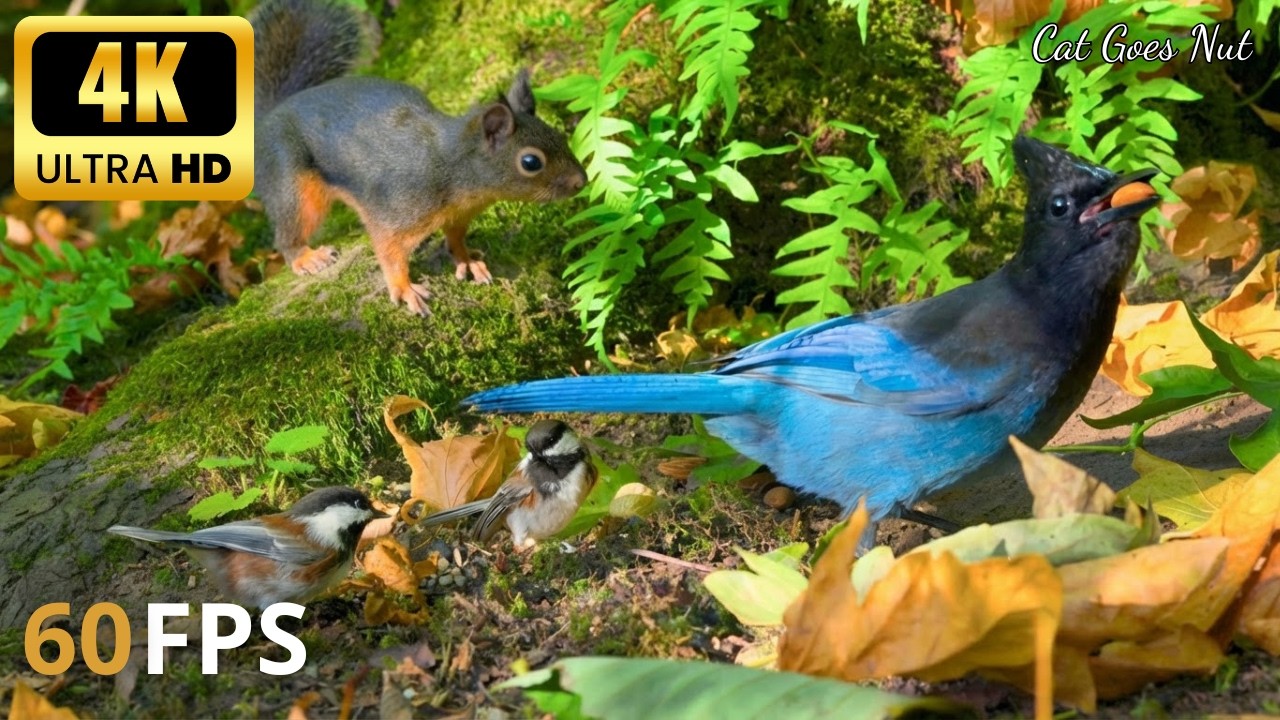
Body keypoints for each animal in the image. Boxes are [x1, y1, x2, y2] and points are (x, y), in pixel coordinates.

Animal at [249, 0, 588, 316]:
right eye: (531, 162)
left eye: (559, 136)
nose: (581, 182)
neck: (454, 169)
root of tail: (271, 114)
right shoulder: (395, 212)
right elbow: (389, 252)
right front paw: (404, 289)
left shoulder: (458, 215)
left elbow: (455, 238)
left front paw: (467, 260)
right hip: (292, 181)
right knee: (288, 232)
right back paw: (306, 257)